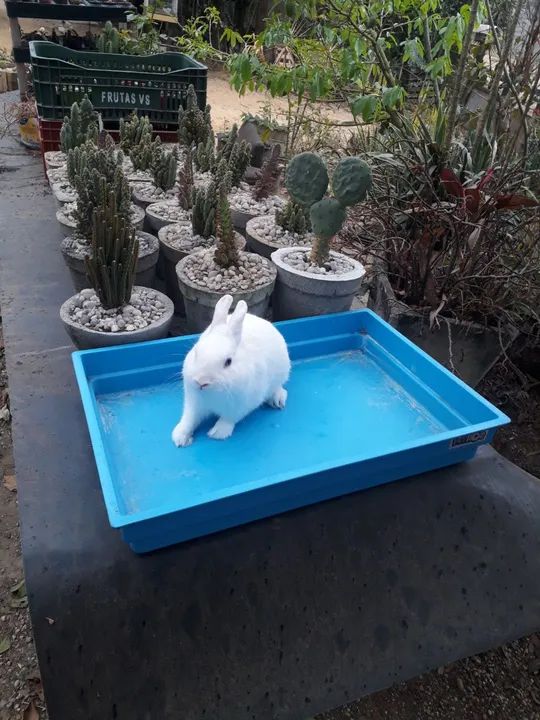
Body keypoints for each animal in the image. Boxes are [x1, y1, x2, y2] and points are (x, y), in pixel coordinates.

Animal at [172, 294, 291, 447]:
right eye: (196, 352)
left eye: (228, 362)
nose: (201, 382)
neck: (213, 394)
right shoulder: (194, 403)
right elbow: (189, 419)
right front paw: (180, 437)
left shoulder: (241, 406)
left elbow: (228, 419)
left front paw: (217, 433)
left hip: (281, 373)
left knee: (279, 387)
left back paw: (277, 400)